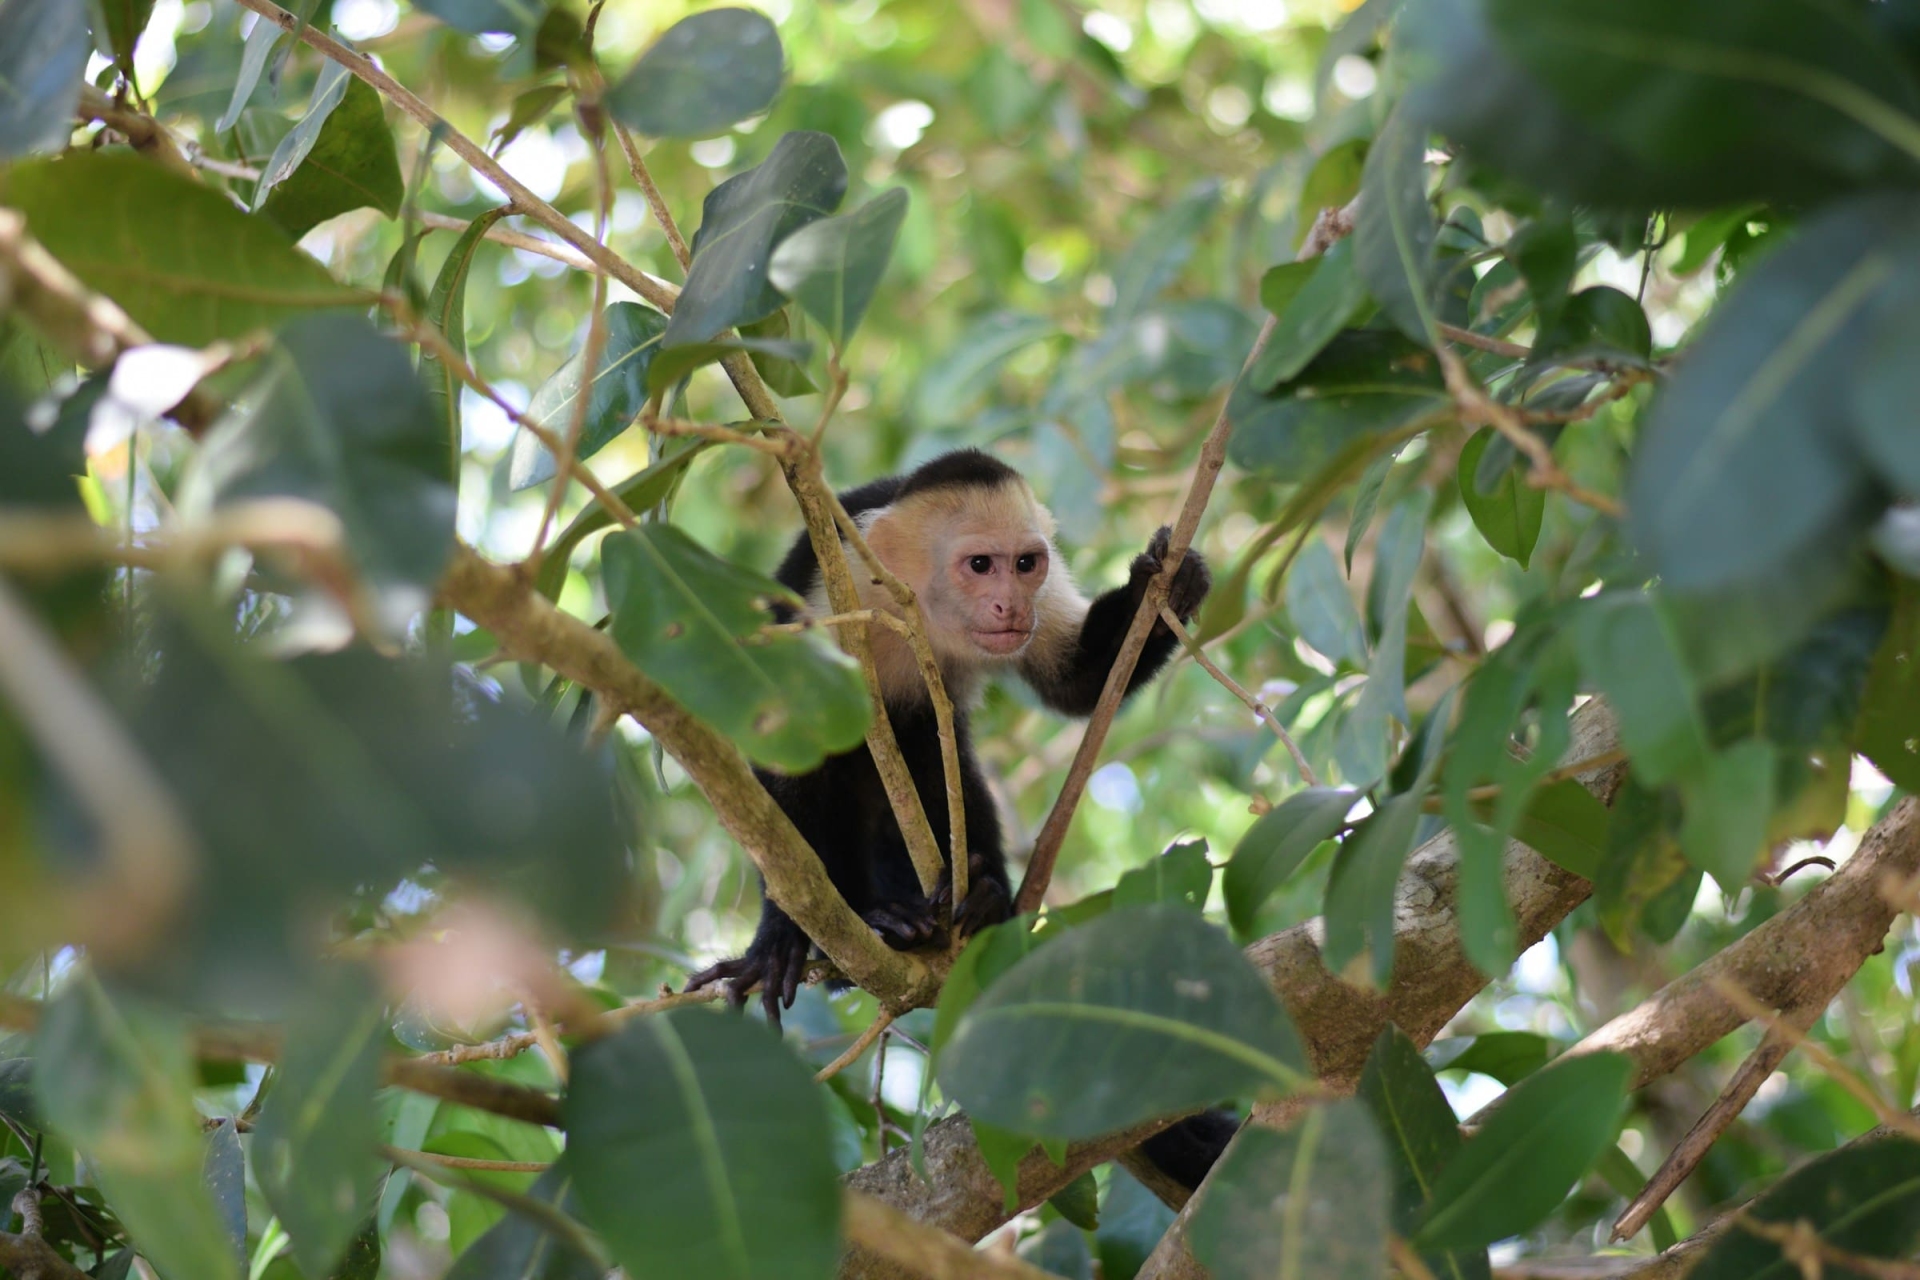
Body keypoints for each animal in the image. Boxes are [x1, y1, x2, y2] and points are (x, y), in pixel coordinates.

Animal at [684, 448, 1212, 1028]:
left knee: (940, 758)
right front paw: (779, 937)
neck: (917, 609)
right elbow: (790, 754)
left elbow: (1076, 684)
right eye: (980, 565)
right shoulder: (826, 597)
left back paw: (982, 897)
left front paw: (1167, 587)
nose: (1011, 605)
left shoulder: (1042, 592)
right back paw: (874, 927)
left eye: (1025, 564)